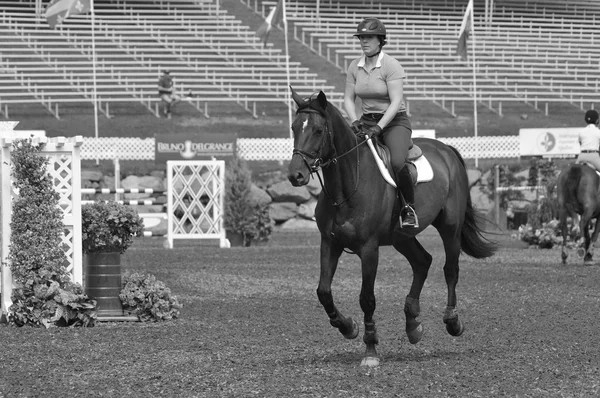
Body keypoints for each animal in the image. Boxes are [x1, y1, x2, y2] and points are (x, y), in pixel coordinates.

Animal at [286, 90, 496, 366]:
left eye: (319, 130)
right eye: (294, 127)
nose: (295, 175)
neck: (347, 183)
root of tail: (446, 149)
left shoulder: (369, 249)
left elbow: (367, 298)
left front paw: (370, 350)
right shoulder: (330, 243)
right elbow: (323, 291)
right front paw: (348, 327)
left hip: (450, 227)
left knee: (450, 269)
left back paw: (452, 321)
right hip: (402, 237)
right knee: (422, 262)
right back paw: (413, 324)